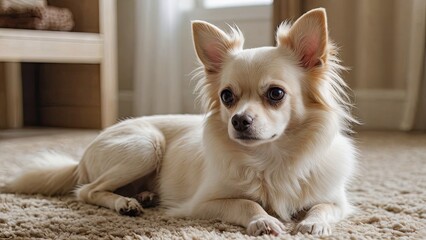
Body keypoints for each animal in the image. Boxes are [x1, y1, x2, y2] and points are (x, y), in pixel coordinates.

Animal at [3, 8, 356, 236]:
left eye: (276, 94)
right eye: (227, 97)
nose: (239, 120)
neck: (272, 157)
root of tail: (82, 158)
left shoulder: (337, 200)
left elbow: (323, 207)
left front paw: (313, 222)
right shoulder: (203, 203)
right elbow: (244, 203)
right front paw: (263, 220)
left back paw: (143, 196)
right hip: (145, 146)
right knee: (87, 190)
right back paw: (125, 203)